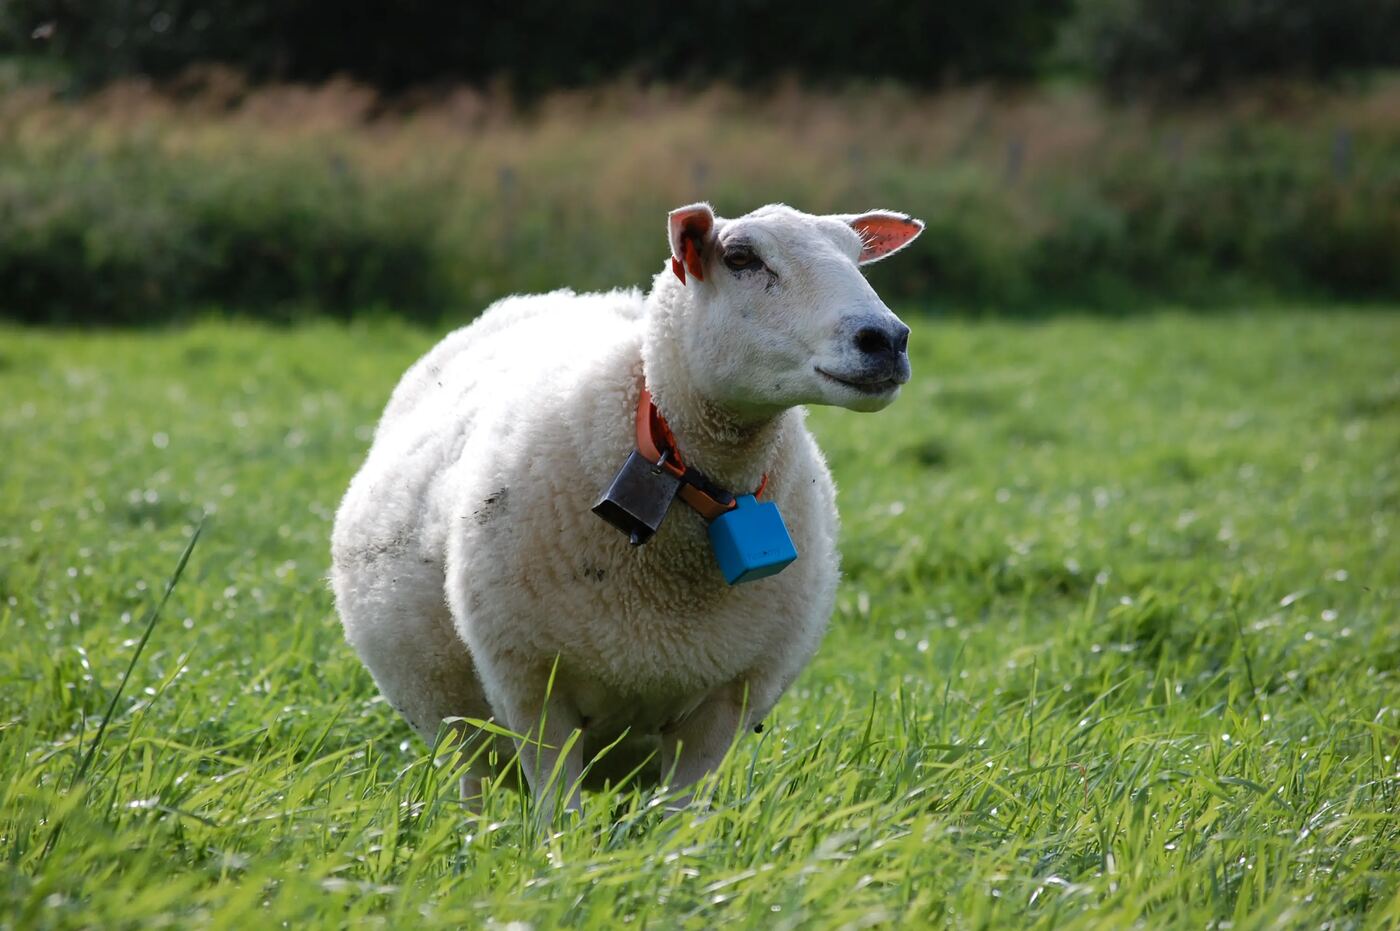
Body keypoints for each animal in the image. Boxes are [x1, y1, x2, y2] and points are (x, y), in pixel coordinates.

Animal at [330, 202, 923, 813]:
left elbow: (680, 822)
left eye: (856, 255)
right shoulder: (531, 691)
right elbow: (556, 816)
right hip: (461, 724)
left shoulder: (723, 703)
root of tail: (565, 296)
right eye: (740, 258)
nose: (887, 339)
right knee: (473, 789)